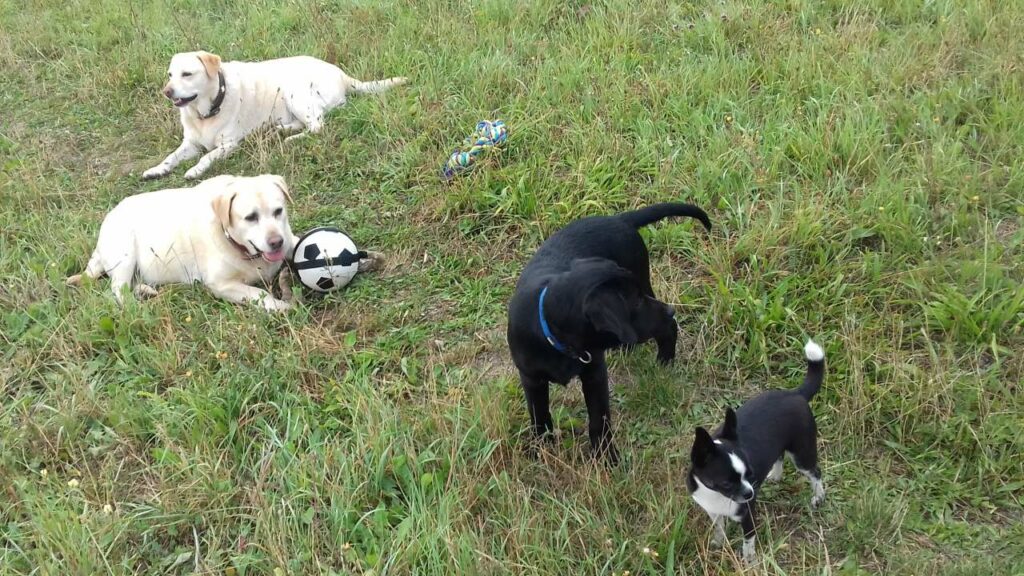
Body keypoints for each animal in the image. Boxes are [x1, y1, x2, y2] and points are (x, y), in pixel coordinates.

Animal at [688, 338, 823, 557]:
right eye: (726, 483)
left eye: (750, 475)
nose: (750, 493)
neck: (716, 495)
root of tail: (795, 393)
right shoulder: (713, 511)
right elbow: (719, 527)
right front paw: (718, 542)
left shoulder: (748, 515)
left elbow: (748, 540)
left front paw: (748, 559)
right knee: (779, 456)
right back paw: (775, 476)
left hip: (802, 454)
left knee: (815, 472)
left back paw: (818, 497)